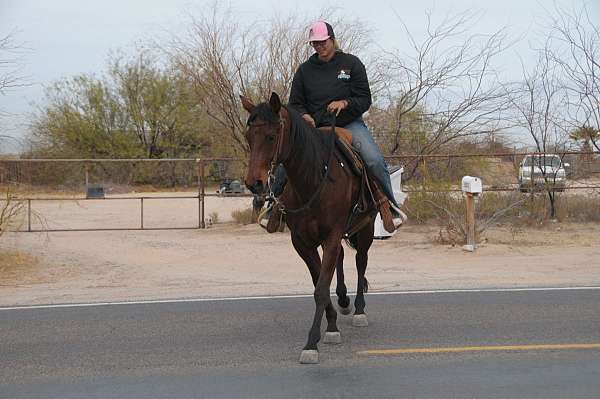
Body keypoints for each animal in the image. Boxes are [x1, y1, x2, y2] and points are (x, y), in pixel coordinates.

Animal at [240, 92, 378, 364]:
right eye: (249, 136)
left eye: (271, 136)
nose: (254, 183)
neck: (313, 180)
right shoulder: (302, 241)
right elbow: (319, 283)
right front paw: (332, 325)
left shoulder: (332, 235)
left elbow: (321, 288)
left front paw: (312, 342)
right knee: (342, 258)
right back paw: (344, 300)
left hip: (365, 228)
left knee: (360, 261)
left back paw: (358, 309)